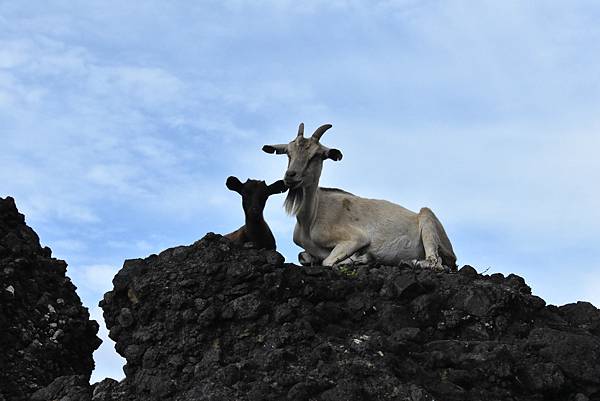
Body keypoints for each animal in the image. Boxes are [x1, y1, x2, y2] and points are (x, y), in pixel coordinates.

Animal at [262, 122, 454, 268]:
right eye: (288, 153)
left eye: (316, 155)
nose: (290, 176)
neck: (310, 218)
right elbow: (303, 257)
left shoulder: (354, 238)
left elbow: (327, 261)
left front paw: (360, 258)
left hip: (428, 220)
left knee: (436, 262)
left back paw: (410, 261)